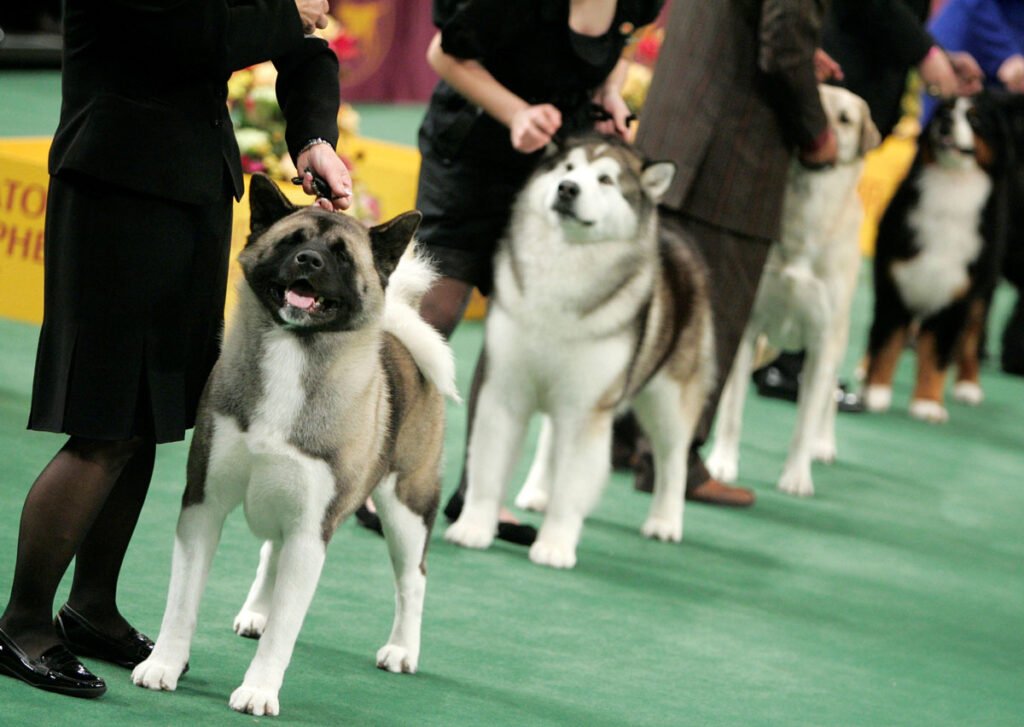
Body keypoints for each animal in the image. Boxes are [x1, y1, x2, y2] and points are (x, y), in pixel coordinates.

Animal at [131, 176, 456, 716]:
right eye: (291, 241)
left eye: (341, 255)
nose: (309, 261)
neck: (292, 350)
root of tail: (401, 339)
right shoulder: (203, 504)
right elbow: (182, 602)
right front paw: (164, 664)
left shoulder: (311, 530)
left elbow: (285, 630)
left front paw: (259, 690)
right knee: (272, 554)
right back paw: (256, 611)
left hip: (406, 504)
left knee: (414, 578)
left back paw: (402, 649)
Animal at [444, 135, 716, 569]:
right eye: (567, 169)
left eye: (605, 179)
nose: (567, 189)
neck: (564, 266)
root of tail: (674, 234)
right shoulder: (503, 390)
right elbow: (487, 468)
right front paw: (474, 527)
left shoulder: (587, 408)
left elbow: (573, 487)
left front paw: (555, 545)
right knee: (552, 440)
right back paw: (537, 492)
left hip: (669, 399)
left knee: (672, 458)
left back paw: (665, 520)